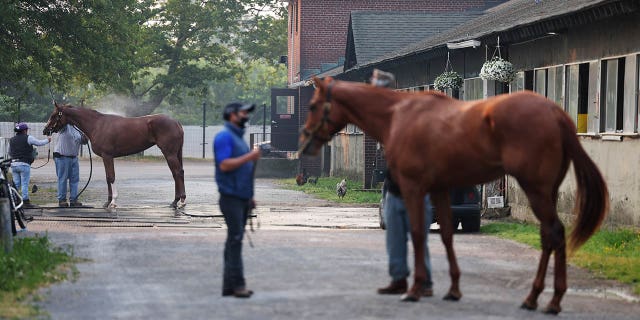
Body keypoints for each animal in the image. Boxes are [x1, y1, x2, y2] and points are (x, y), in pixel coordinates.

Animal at [42, 101, 185, 209]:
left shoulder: (107, 156)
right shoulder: (106, 157)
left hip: (169, 153)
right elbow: (107, 178)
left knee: (177, 173)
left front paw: (113, 202)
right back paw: (176, 201)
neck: (97, 124)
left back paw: (181, 201)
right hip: (174, 154)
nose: (45, 130)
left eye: (54, 115)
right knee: (177, 173)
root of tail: (176, 122)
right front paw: (107, 201)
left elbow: (111, 177)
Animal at [298, 76, 608, 314]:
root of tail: (556, 114)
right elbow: (446, 234)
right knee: (549, 236)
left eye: (313, 105)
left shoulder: (414, 187)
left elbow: (418, 234)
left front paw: (415, 289)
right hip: (547, 191)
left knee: (554, 233)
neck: (398, 115)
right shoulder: (439, 189)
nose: (304, 139)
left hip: (536, 190)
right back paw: (536, 298)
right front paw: (453, 289)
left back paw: (550, 301)